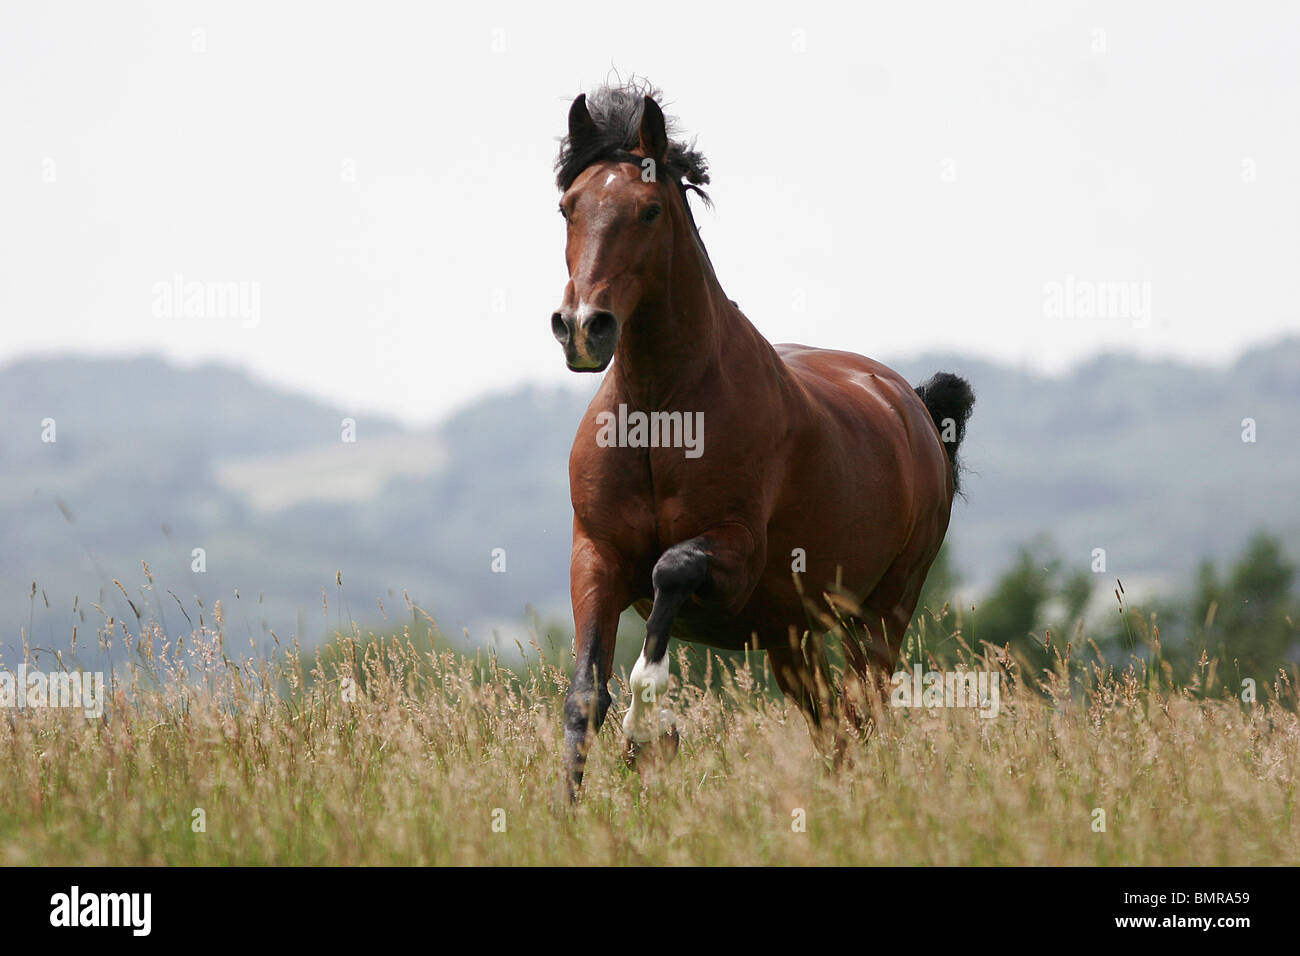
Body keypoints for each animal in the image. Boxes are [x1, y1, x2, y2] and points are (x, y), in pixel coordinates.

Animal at [548, 82, 977, 796]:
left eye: (649, 211)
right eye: (568, 207)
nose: (584, 327)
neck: (663, 415)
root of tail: (912, 405)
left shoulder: (735, 556)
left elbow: (670, 572)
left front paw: (649, 731)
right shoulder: (597, 555)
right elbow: (585, 695)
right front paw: (568, 808)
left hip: (882, 613)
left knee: (863, 712)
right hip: (791, 636)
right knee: (834, 725)